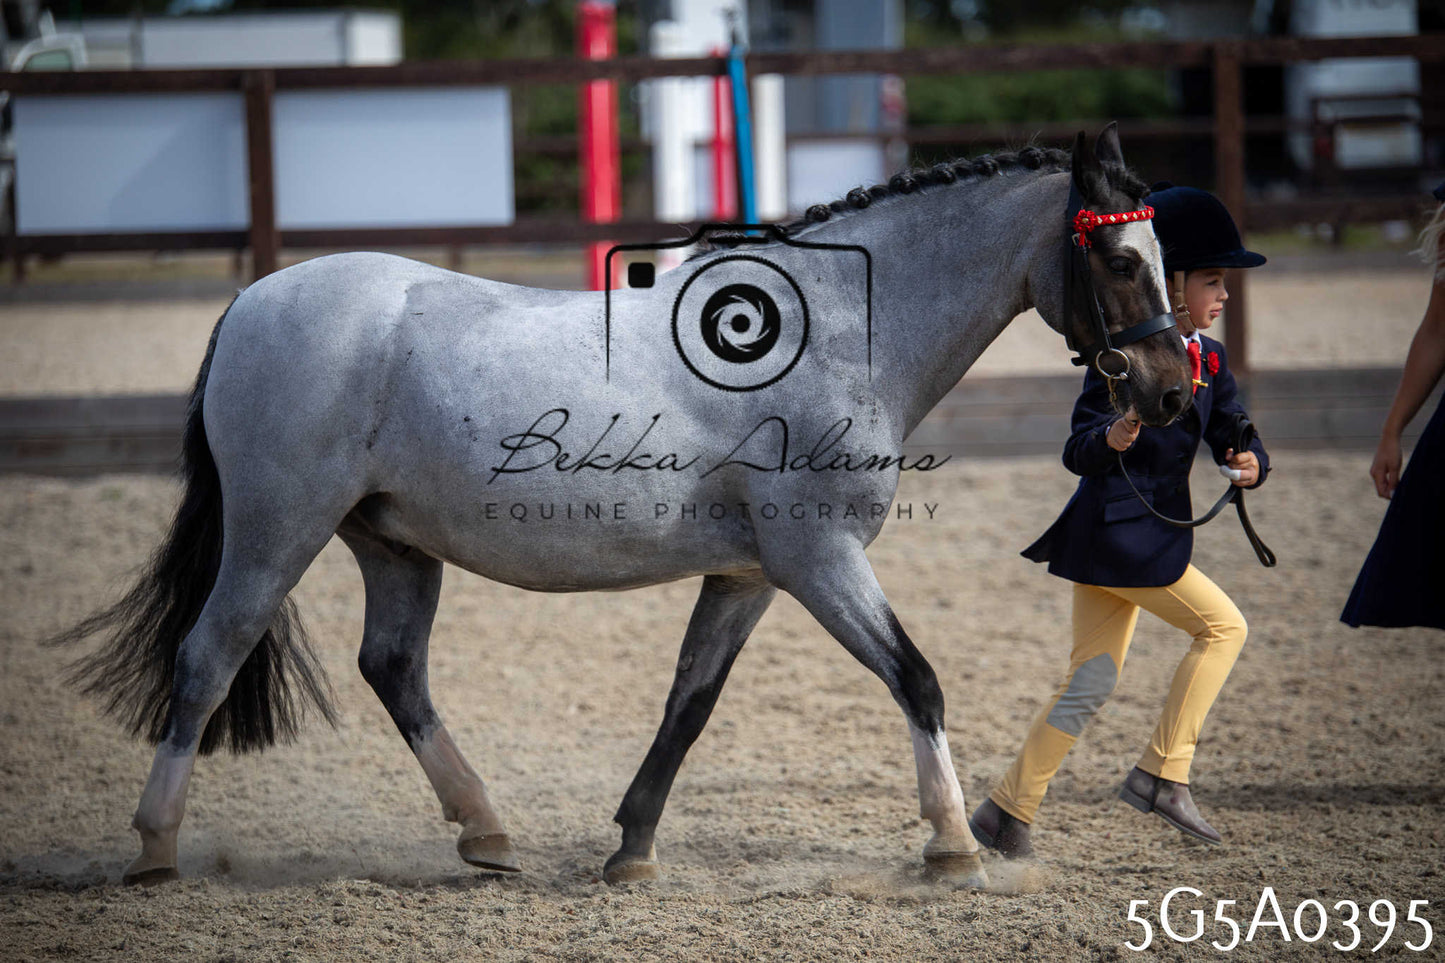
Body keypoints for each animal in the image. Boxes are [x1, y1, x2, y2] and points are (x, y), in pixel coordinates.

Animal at [58, 124, 1190, 889]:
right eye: (1118, 258)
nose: (1171, 389)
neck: (828, 330)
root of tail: (254, 300)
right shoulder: (820, 560)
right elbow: (917, 680)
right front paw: (953, 844)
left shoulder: (745, 577)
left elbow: (688, 703)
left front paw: (632, 849)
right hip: (274, 531)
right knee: (209, 657)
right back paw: (155, 848)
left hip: (390, 545)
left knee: (393, 670)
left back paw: (486, 832)